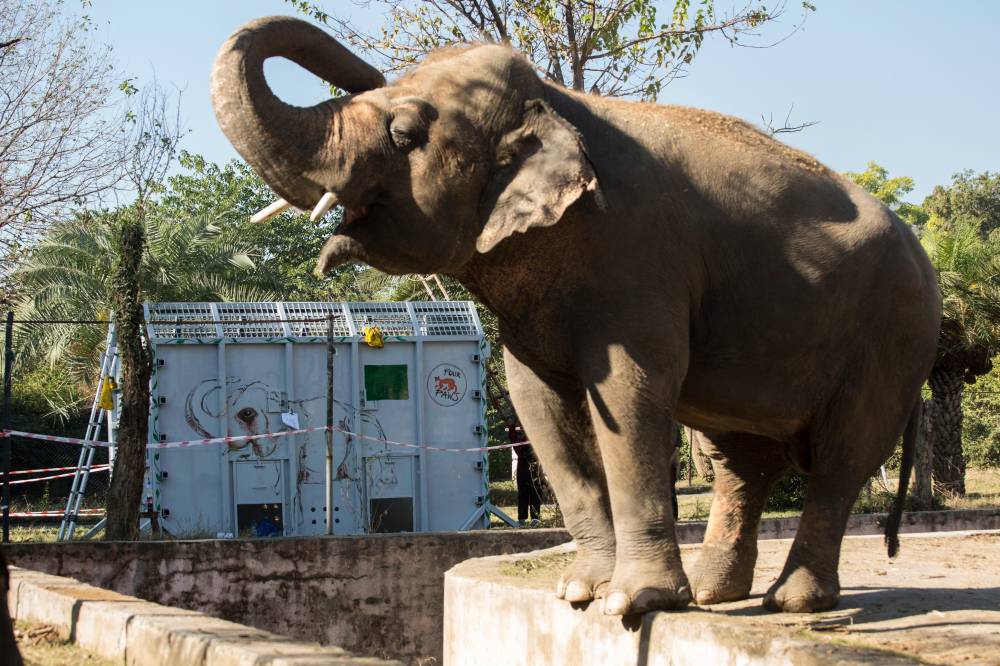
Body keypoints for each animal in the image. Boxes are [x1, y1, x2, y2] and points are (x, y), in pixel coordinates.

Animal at [209, 14, 936, 612]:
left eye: (404, 132)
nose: (363, 69)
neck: (558, 99)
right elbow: (538, 406)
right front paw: (580, 593)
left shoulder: (638, 259)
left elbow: (630, 394)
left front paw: (635, 604)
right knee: (740, 460)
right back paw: (716, 595)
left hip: (893, 335)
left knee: (842, 454)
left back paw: (792, 601)